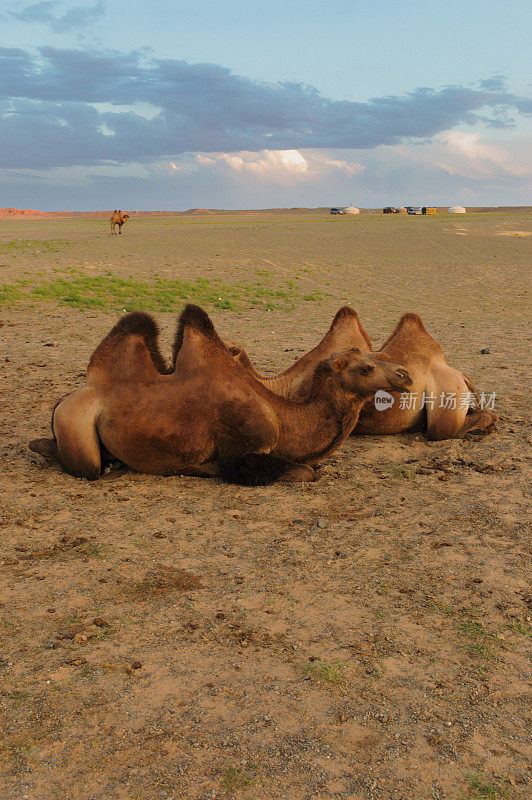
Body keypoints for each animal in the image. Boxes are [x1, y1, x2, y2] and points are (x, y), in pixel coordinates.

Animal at [28, 304, 412, 482]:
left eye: (376, 357)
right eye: (365, 367)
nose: (405, 375)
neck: (283, 418)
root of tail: (66, 399)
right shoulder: (240, 454)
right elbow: (305, 472)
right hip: (76, 427)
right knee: (86, 465)